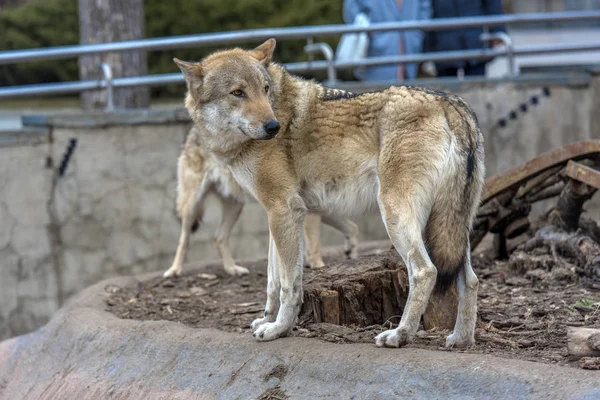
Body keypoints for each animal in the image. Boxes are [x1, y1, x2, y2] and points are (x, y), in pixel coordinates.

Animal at [162, 128, 358, 278]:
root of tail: (192, 131)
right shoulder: (308, 212)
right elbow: (315, 246)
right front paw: (319, 267)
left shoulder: (318, 208)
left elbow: (352, 227)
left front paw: (351, 251)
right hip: (193, 204)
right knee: (184, 239)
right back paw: (174, 270)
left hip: (235, 206)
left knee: (219, 238)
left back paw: (232, 269)